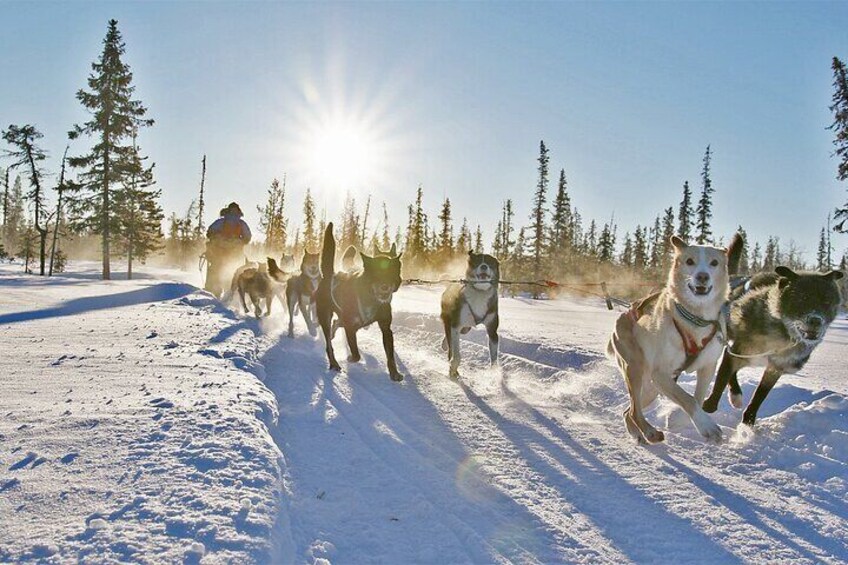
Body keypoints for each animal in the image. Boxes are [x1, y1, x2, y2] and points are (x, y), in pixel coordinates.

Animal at [316, 223, 406, 382]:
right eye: (375, 274)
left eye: (391, 273)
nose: (384, 287)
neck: (370, 298)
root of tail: (329, 275)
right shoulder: (350, 327)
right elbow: (356, 353)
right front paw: (351, 357)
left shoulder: (385, 328)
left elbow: (390, 356)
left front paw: (394, 373)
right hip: (325, 316)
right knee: (329, 344)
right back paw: (334, 362)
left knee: (336, 323)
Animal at [608, 236, 740, 442]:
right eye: (690, 261)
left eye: (714, 263)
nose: (702, 276)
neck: (696, 318)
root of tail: (625, 313)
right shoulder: (660, 374)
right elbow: (687, 398)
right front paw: (706, 425)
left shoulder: (707, 368)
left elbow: (697, 398)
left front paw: (678, 418)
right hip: (636, 368)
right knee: (634, 411)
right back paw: (649, 431)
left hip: (652, 388)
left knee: (628, 411)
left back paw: (637, 433)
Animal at [704, 266, 840, 424]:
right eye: (802, 298)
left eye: (827, 301)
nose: (816, 320)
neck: (783, 333)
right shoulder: (737, 352)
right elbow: (721, 380)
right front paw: (709, 405)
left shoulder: (775, 369)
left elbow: (760, 396)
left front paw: (749, 420)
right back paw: (735, 395)